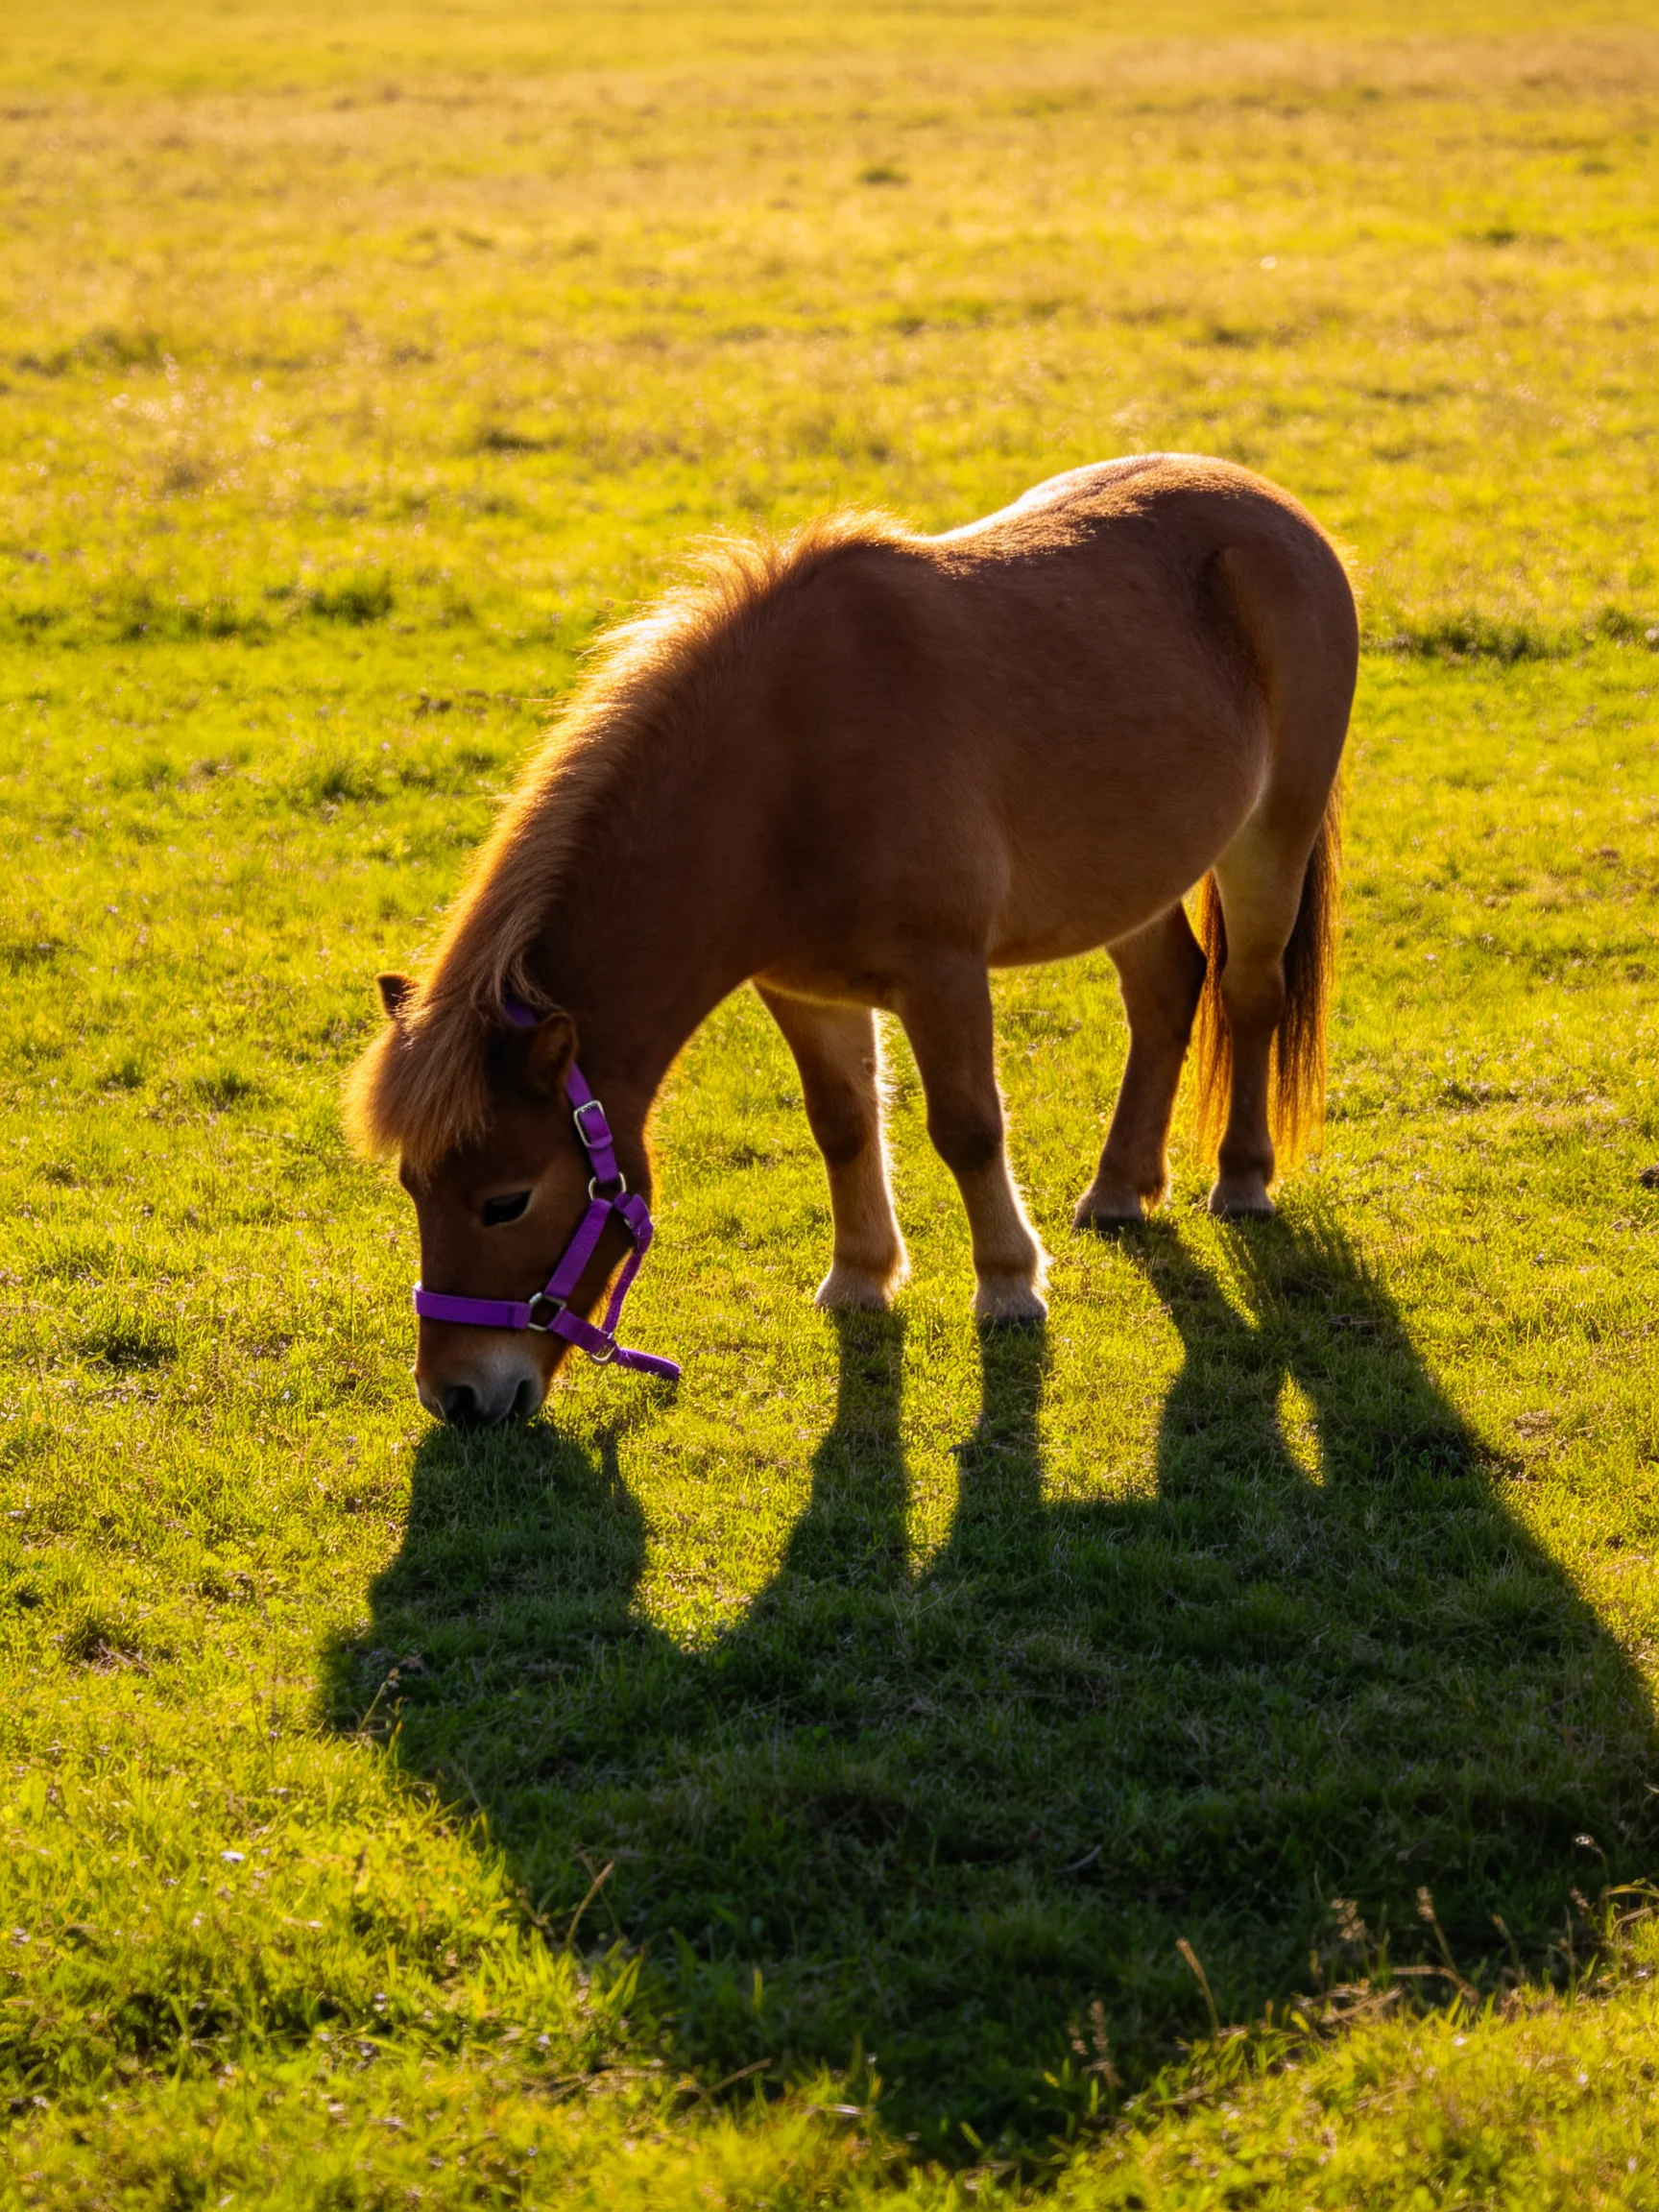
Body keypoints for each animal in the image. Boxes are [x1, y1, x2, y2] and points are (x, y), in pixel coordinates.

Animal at [346, 455, 1357, 1426]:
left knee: (1248, 996)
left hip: (1270, 836)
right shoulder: (803, 990)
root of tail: (1278, 514)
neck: (787, 773)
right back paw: (1119, 1189)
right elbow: (841, 1123)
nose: (456, 1396)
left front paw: (1008, 1284)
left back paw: (1242, 1179)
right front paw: (862, 1275)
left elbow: (968, 1126)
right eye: (412, 1187)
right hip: (1132, 878)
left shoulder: (944, 974)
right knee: (1166, 992)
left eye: (505, 1201)